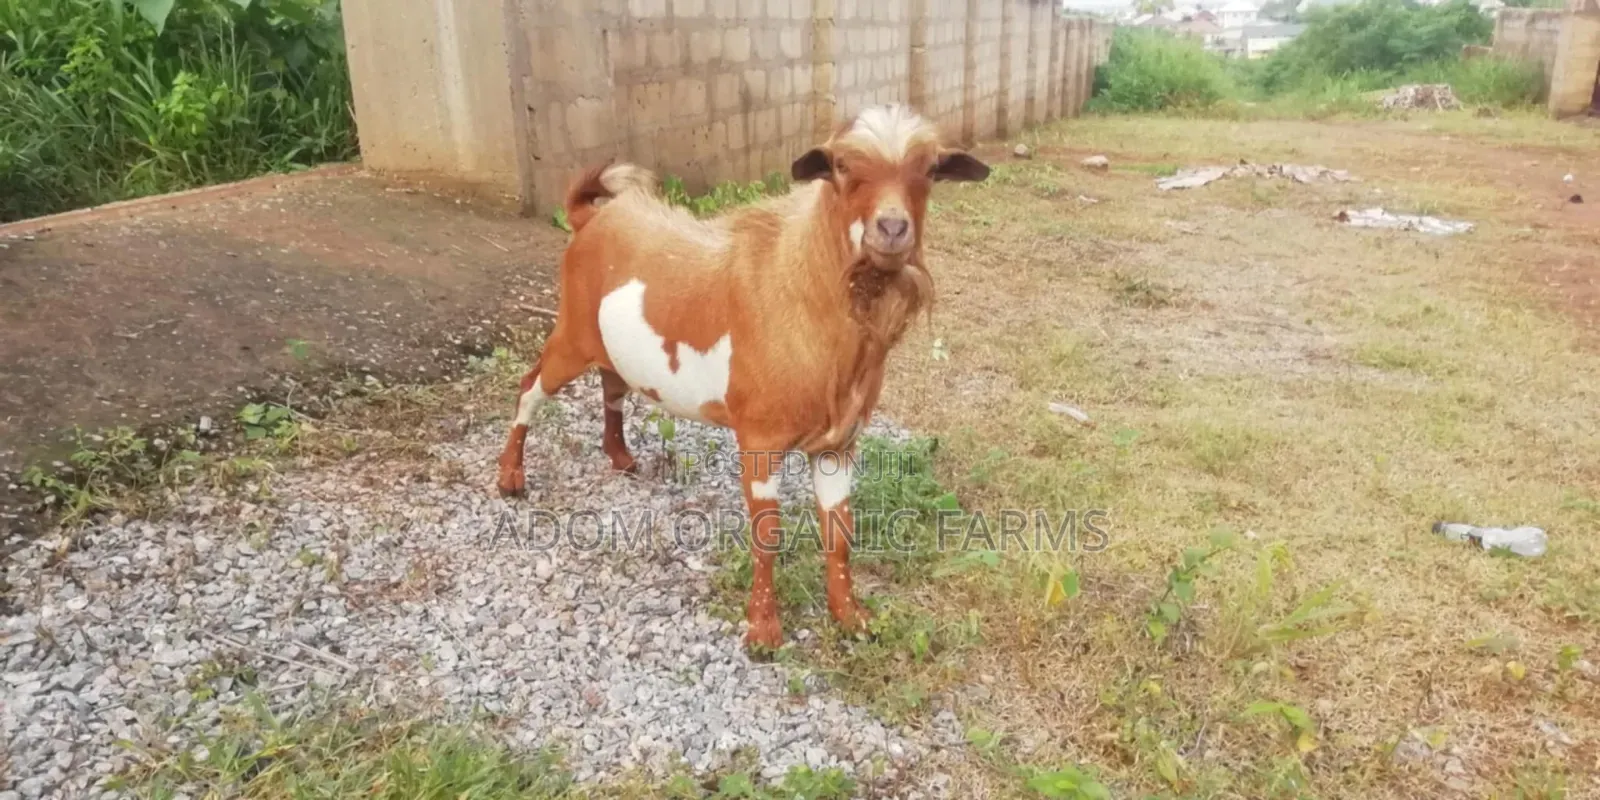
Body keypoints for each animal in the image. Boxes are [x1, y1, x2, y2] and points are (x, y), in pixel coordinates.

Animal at [496, 104, 990, 651]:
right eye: (841, 166)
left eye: (930, 170)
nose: (892, 228)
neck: (803, 293)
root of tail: (589, 218)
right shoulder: (760, 438)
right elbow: (767, 533)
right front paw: (763, 631)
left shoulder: (838, 444)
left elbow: (839, 532)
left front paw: (851, 617)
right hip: (571, 335)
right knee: (529, 388)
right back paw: (510, 478)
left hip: (611, 348)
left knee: (613, 386)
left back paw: (620, 457)